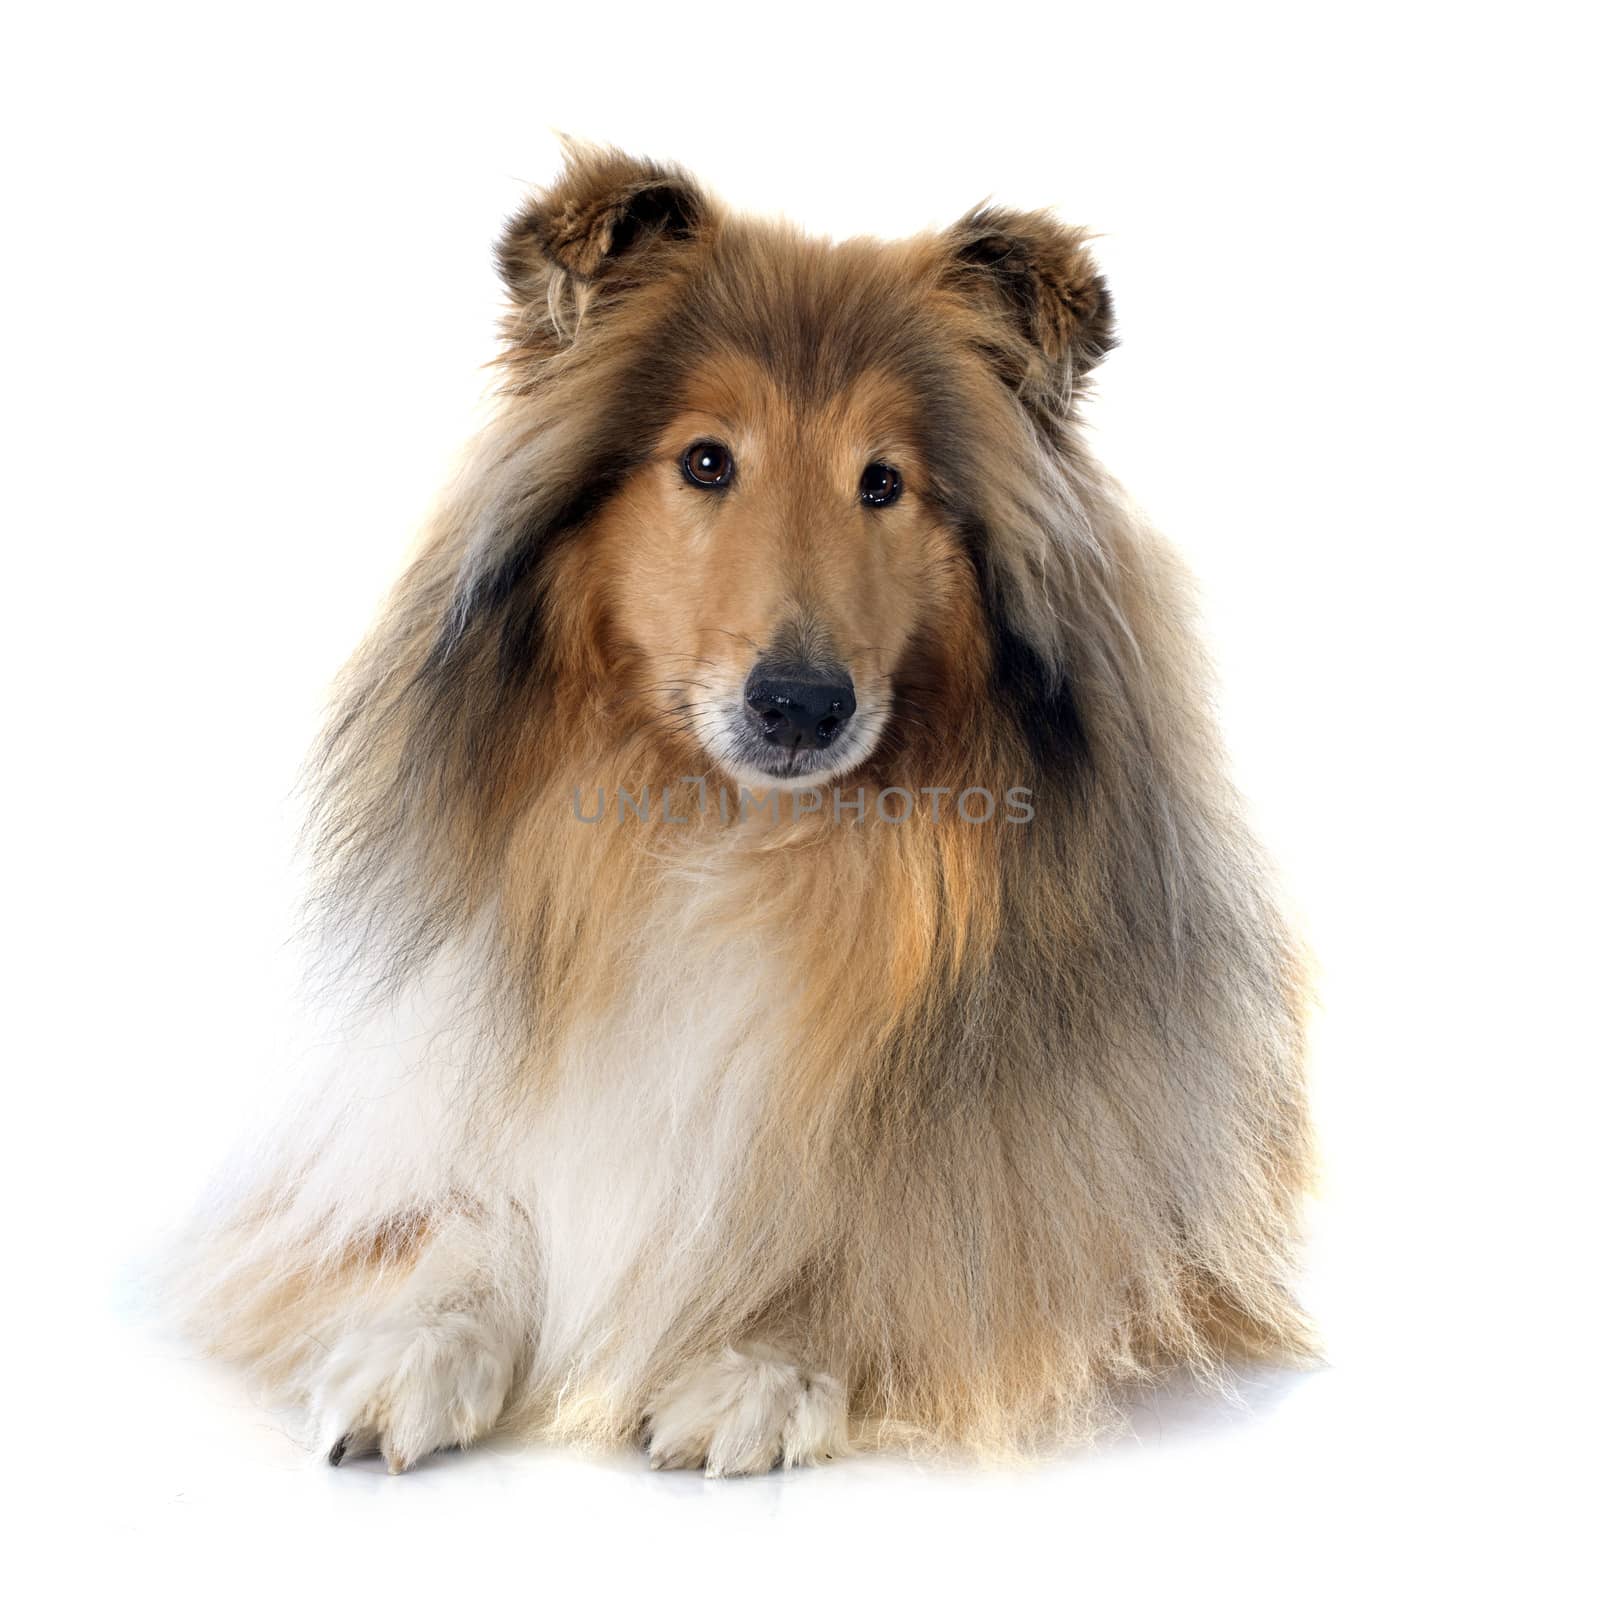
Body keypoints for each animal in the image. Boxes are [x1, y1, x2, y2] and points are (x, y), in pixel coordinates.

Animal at [181, 147, 1318, 1472]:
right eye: (707, 462)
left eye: (883, 482)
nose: (800, 707)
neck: (732, 838)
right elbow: (461, 1215)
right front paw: (411, 1345)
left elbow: (911, 1244)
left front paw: (761, 1362)